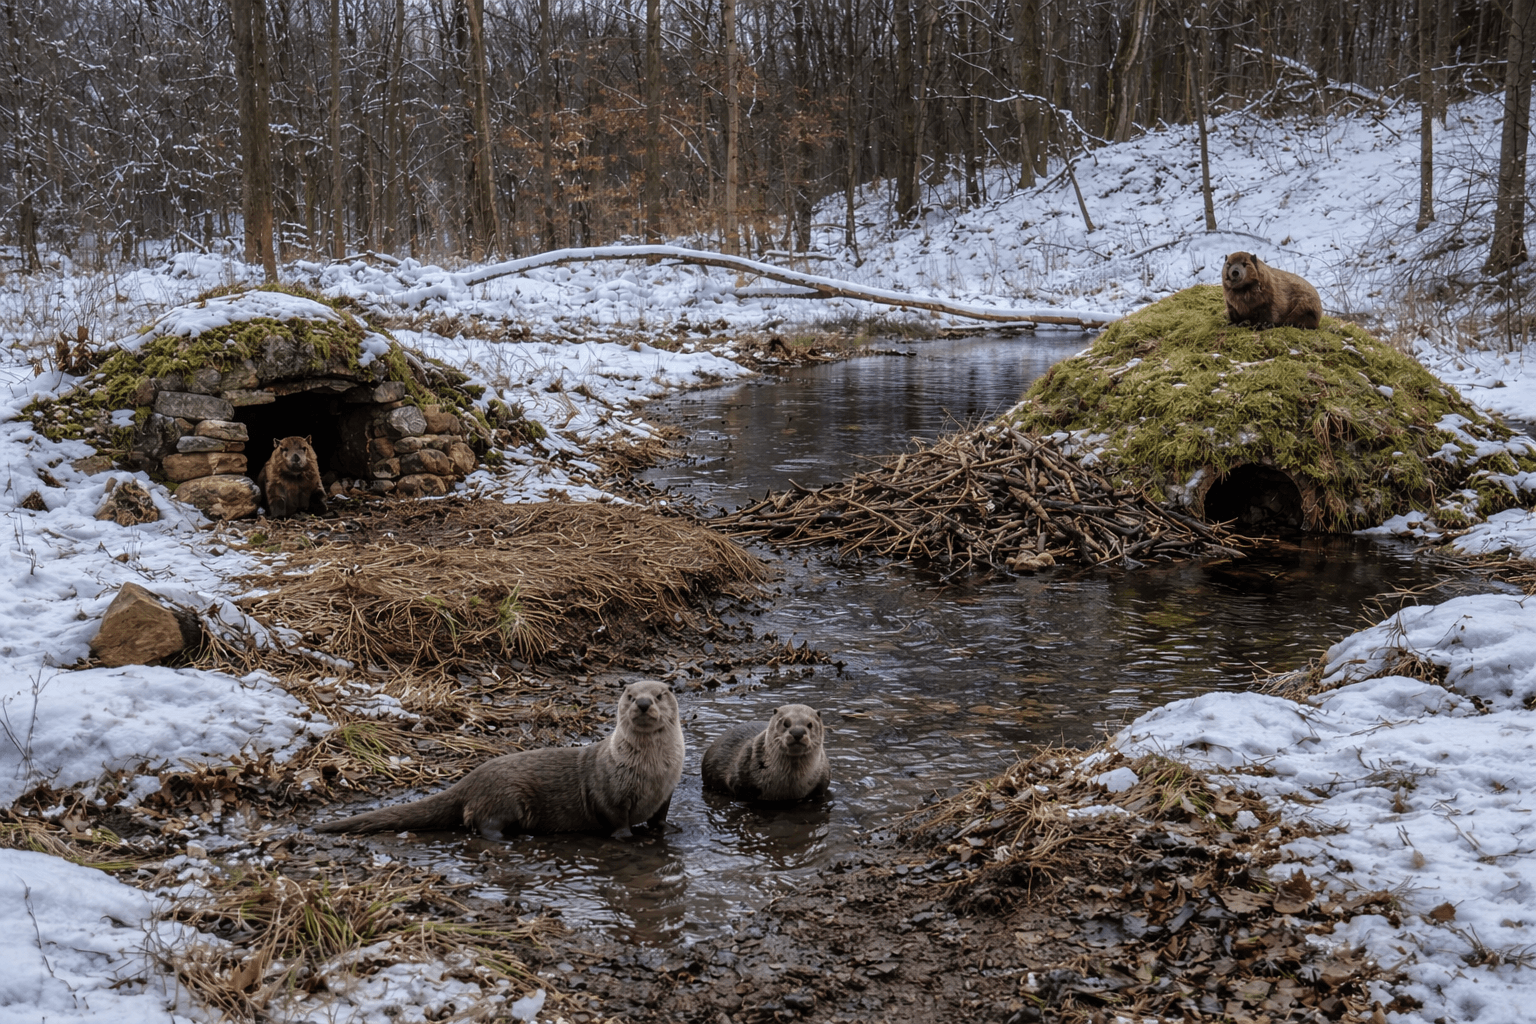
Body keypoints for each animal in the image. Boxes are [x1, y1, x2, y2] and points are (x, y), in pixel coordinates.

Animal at [315, 679, 685, 838]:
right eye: (630, 696)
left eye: (659, 695)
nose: (643, 703)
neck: (651, 772)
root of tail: (471, 778)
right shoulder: (608, 789)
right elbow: (616, 819)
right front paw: (627, 838)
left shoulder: (668, 790)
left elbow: (660, 817)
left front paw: (668, 829)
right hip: (503, 797)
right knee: (482, 823)